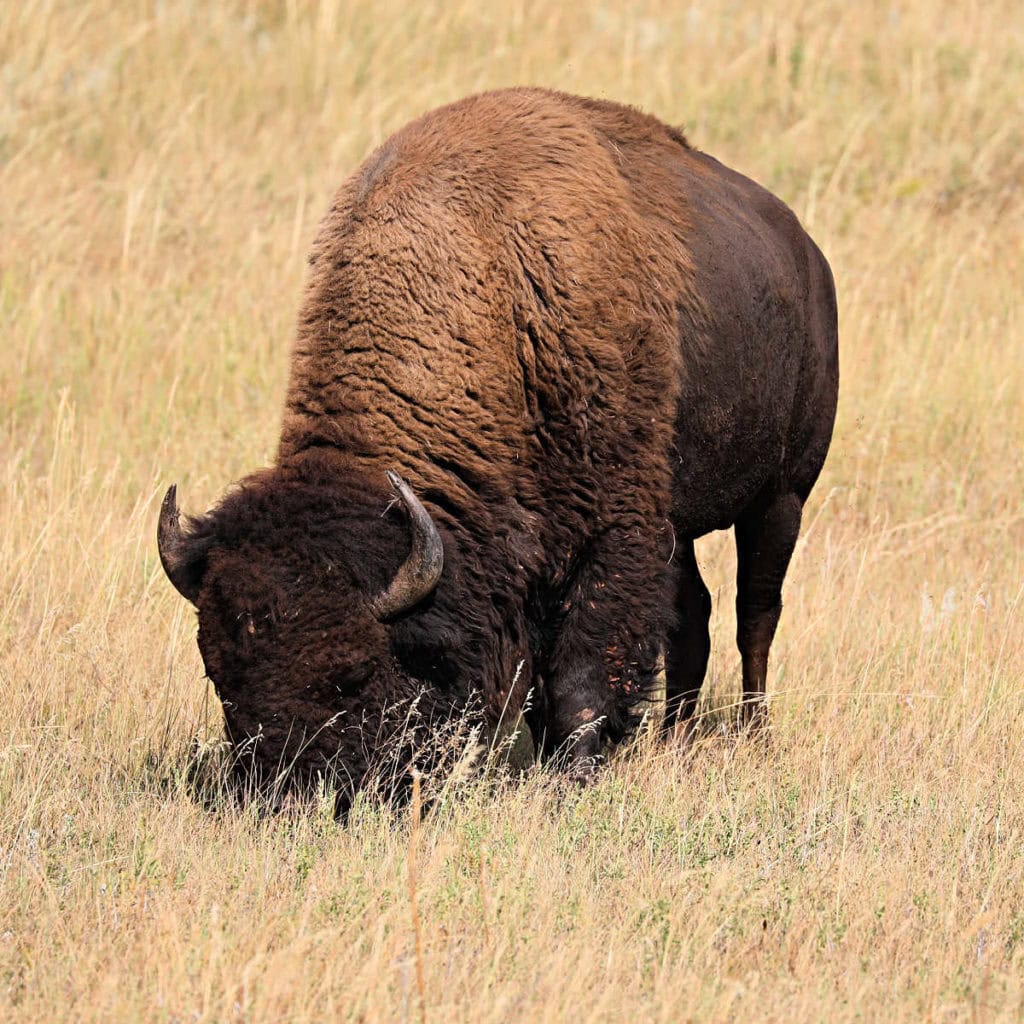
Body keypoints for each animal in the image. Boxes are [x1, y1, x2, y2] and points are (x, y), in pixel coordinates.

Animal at [155, 88, 835, 802]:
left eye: (353, 674)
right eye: (219, 677)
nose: (282, 789)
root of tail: (807, 256)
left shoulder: (612, 531)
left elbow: (582, 669)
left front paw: (573, 770)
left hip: (781, 498)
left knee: (754, 611)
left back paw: (753, 732)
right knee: (694, 614)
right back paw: (674, 736)